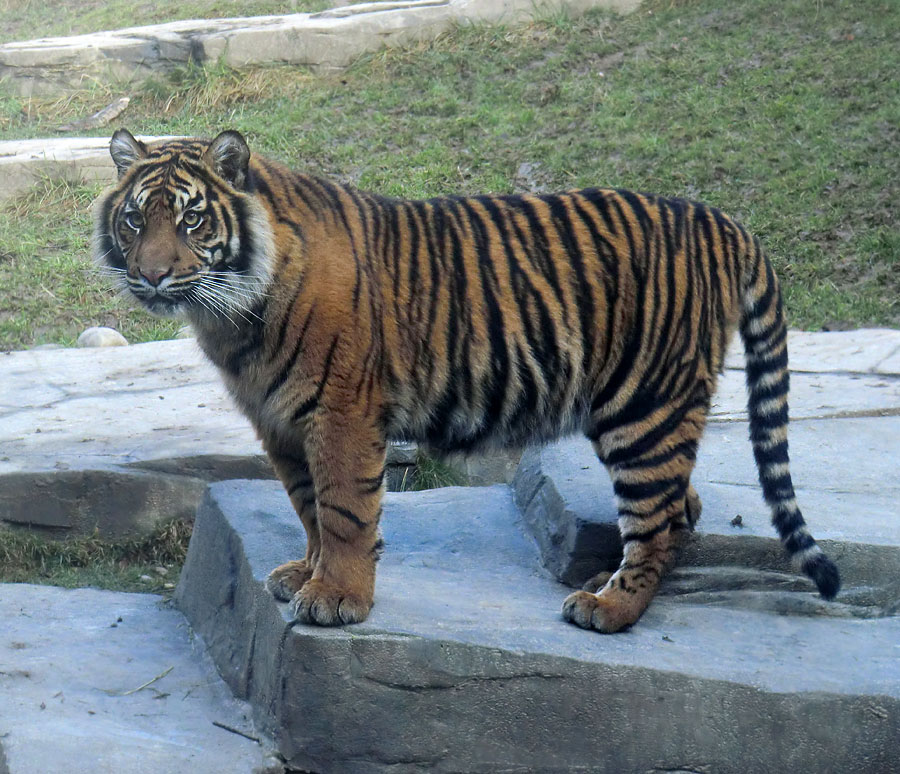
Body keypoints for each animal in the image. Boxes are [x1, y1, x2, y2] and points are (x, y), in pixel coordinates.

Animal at [91, 129, 836, 636]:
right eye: (135, 218)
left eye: (191, 219)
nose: (153, 274)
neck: (230, 314)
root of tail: (725, 221)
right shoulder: (277, 419)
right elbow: (307, 506)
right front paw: (306, 572)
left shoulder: (342, 412)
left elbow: (344, 509)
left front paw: (337, 598)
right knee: (684, 505)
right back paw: (611, 582)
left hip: (645, 406)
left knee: (658, 517)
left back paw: (608, 607)